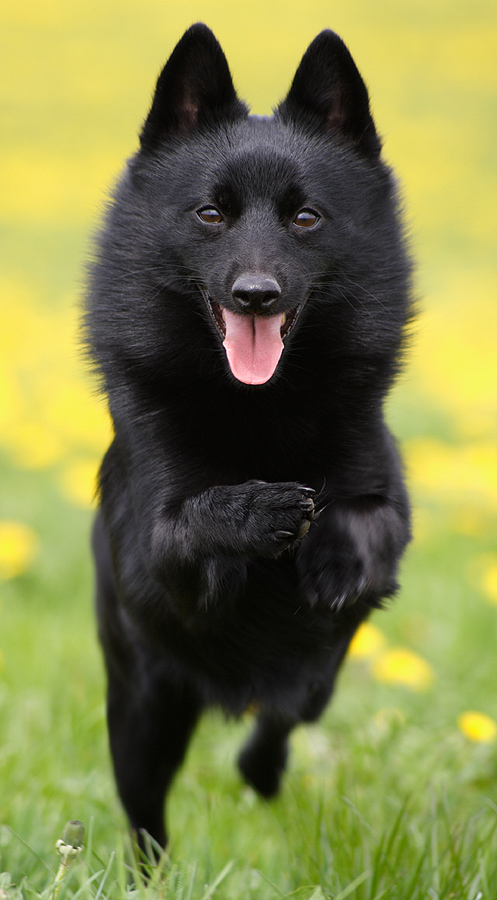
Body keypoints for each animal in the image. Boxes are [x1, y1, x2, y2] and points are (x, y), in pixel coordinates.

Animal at [84, 22, 410, 852]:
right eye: (210, 214)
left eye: (305, 218)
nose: (255, 294)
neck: (262, 409)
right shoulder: (156, 557)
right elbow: (195, 517)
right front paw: (258, 510)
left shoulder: (386, 517)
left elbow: (364, 516)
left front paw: (330, 553)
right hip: (143, 709)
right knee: (144, 818)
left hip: (313, 678)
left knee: (284, 714)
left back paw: (260, 770)